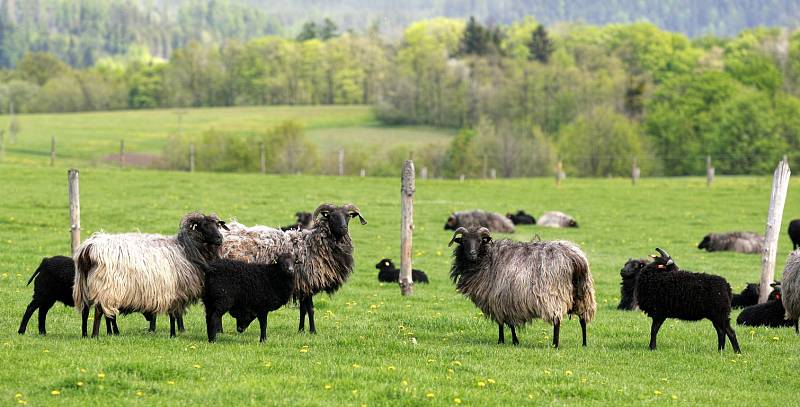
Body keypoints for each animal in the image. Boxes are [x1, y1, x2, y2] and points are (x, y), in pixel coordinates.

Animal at [73, 212, 227, 340]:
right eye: (203, 226)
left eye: (217, 225)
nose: (220, 238)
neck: (186, 249)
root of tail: (88, 249)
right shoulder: (175, 291)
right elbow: (173, 315)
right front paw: (173, 334)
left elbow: (172, 315)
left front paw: (174, 332)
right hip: (106, 286)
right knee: (99, 311)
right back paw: (95, 335)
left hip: (83, 285)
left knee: (85, 311)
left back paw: (85, 334)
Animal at [220, 204, 368, 334]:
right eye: (331, 216)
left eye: (348, 216)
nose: (343, 227)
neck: (313, 245)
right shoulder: (308, 282)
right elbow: (311, 309)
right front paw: (313, 331)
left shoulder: (302, 285)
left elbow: (303, 310)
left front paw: (301, 330)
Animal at [450, 226, 592, 348]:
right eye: (464, 241)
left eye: (479, 241)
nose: (472, 254)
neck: (487, 257)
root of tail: (575, 259)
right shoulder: (507, 300)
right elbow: (508, 323)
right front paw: (512, 341)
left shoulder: (499, 298)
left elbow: (503, 323)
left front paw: (503, 341)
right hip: (583, 294)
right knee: (583, 320)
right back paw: (584, 344)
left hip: (554, 295)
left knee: (557, 321)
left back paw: (555, 345)